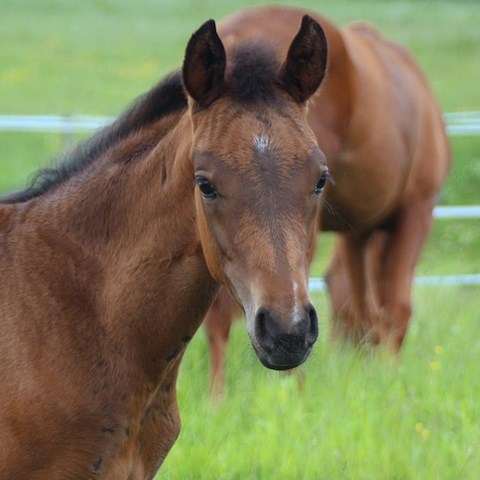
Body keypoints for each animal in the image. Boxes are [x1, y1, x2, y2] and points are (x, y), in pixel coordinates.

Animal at [205, 4, 450, 398]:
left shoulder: (357, 230)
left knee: (219, 318)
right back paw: (291, 391)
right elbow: (396, 309)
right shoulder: (417, 211)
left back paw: (219, 398)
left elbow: (360, 306)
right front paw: (390, 378)